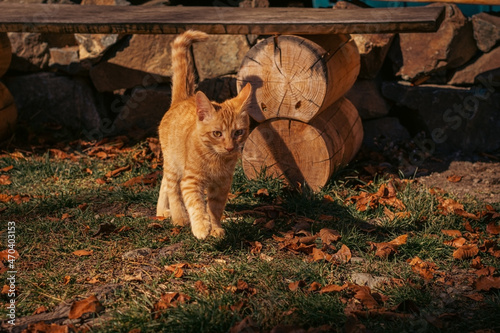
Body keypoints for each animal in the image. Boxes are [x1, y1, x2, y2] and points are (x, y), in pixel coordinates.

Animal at [157, 30, 252, 239]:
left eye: (238, 132)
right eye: (217, 133)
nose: (230, 147)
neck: (216, 158)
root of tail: (183, 99)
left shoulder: (222, 185)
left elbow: (215, 208)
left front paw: (215, 227)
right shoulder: (191, 180)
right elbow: (196, 204)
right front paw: (201, 227)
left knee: (164, 183)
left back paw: (161, 211)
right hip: (173, 163)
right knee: (172, 187)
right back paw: (178, 216)